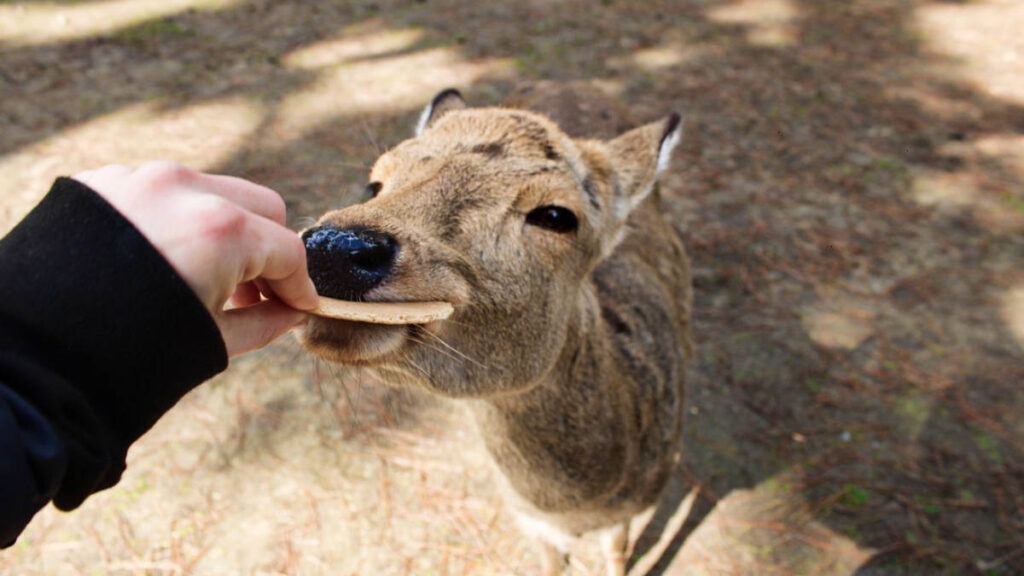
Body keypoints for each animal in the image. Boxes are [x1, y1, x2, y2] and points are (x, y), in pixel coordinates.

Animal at [299, 84, 693, 576]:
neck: (580, 508)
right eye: (376, 183)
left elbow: (618, 557)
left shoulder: (635, 508)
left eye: (557, 215)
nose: (334, 246)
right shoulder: (527, 519)